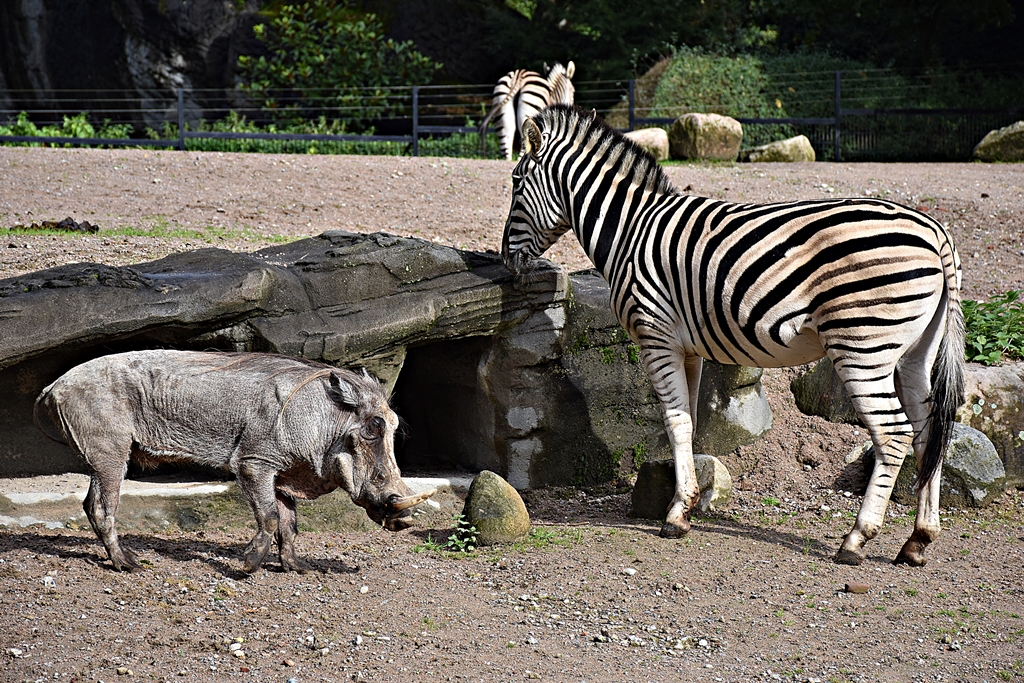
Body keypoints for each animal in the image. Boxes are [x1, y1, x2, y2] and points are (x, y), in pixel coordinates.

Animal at [500, 104, 965, 567]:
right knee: (929, 432)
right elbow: (689, 420)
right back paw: (918, 540)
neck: (630, 230)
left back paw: (856, 539)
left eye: (517, 182)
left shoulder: (656, 337)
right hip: (916, 353)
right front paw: (686, 503)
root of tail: (935, 231)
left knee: (893, 433)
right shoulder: (687, 348)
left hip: (862, 346)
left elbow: (674, 422)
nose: (506, 259)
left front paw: (675, 514)